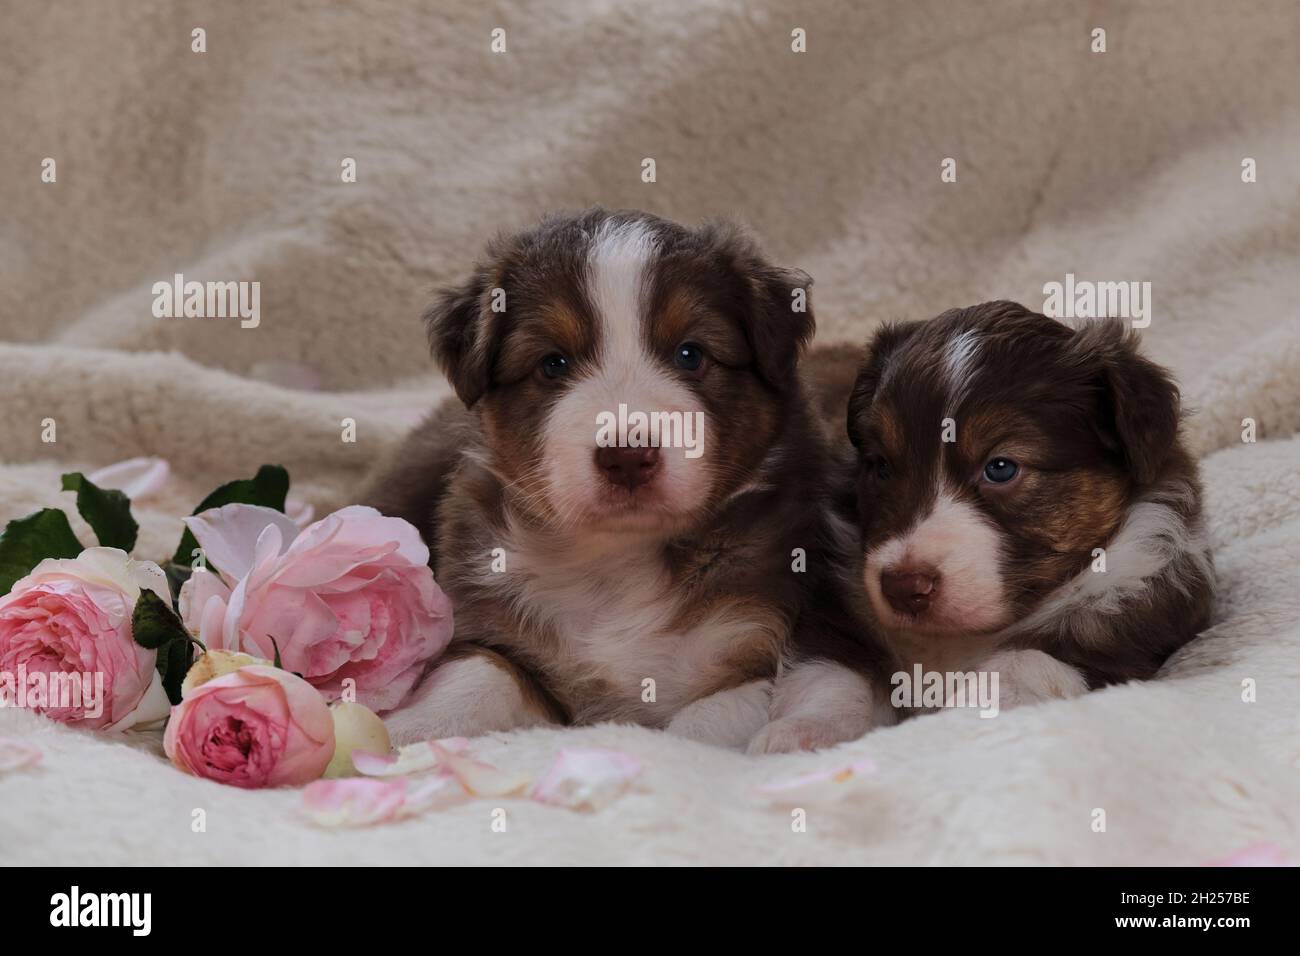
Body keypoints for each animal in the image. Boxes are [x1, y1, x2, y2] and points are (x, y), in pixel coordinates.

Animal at [358, 208, 883, 749]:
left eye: (690, 354)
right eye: (553, 364)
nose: (627, 456)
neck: (616, 561)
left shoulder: (757, 642)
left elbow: (702, 727)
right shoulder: (488, 624)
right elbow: (479, 673)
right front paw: (410, 728)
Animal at [759, 299, 1211, 749]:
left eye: (1000, 468)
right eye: (882, 466)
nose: (903, 588)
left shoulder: (1127, 632)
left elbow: (1022, 661)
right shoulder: (834, 613)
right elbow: (831, 675)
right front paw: (803, 733)